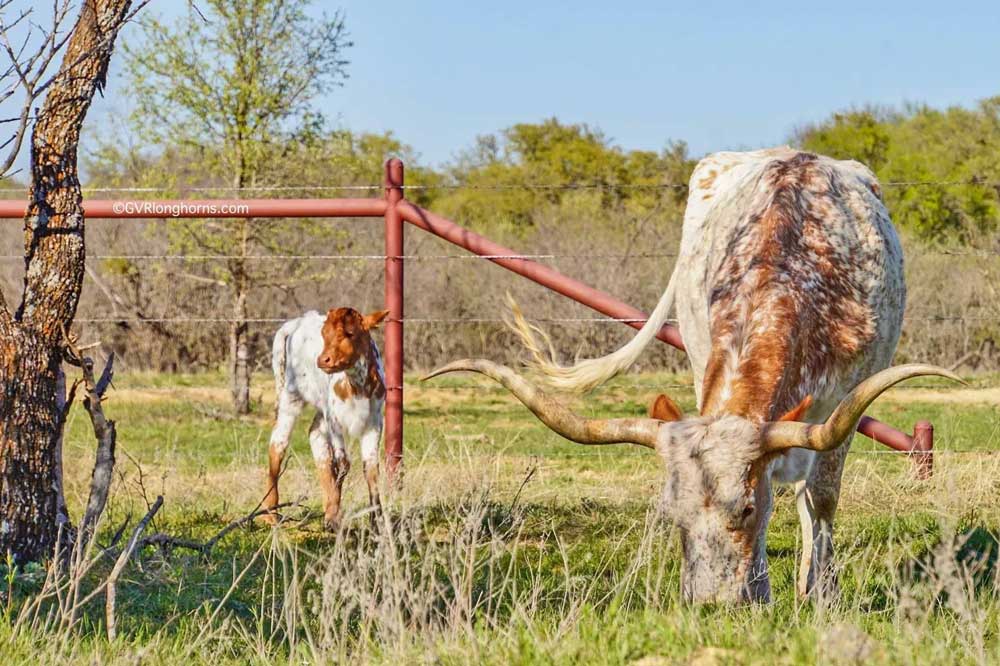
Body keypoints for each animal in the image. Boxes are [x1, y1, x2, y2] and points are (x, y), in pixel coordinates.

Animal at [264, 306, 388, 528]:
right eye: (324, 334)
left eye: (350, 333)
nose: (323, 360)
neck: (357, 386)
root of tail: (296, 323)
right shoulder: (334, 420)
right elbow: (342, 464)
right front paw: (334, 518)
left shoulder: (374, 423)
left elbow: (371, 469)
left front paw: (377, 520)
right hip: (291, 397)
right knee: (278, 443)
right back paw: (271, 511)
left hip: (321, 407)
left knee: (315, 435)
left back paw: (327, 504)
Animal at [428, 149, 960, 600]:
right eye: (673, 514)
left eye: (746, 509)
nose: (710, 604)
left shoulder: (846, 401)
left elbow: (821, 499)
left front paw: (818, 593)